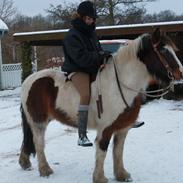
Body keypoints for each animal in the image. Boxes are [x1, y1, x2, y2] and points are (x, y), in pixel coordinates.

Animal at [19, 27, 183, 183]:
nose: (180, 74)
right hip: (38, 122)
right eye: (163, 50)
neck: (119, 85)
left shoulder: (123, 128)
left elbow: (118, 151)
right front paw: (99, 178)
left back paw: (25, 163)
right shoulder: (106, 128)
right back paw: (45, 170)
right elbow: (102, 151)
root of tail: (29, 80)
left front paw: (122, 175)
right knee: (38, 143)